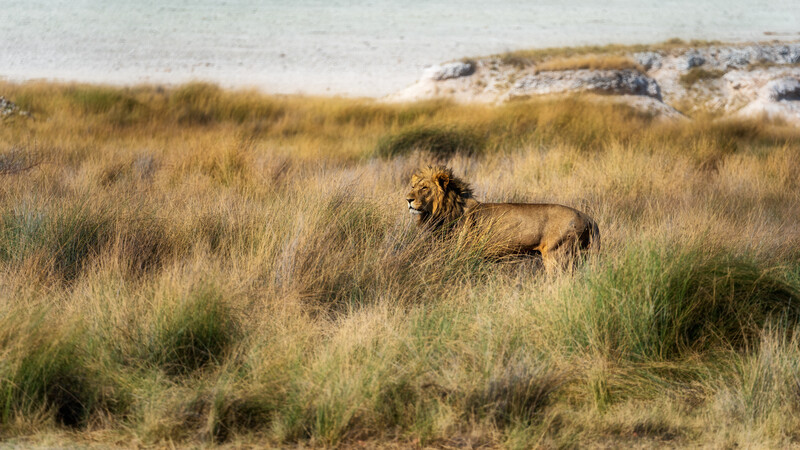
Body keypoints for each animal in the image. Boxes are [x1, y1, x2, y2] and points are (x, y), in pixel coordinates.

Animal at [406, 165, 599, 267]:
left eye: (424, 188)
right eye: (413, 186)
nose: (408, 199)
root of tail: (589, 219)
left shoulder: (464, 252)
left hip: (558, 255)